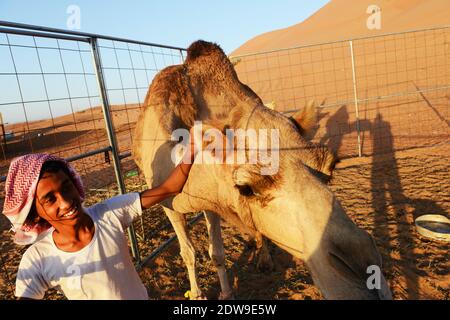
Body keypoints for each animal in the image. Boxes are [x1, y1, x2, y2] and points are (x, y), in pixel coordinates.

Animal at [132, 40, 392, 300]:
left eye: (330, 167)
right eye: (246, 188)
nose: (367, 275)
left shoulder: (211, 201)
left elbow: (217, 253)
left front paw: (227, 293)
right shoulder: (173, 203)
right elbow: (188, 253)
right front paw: (197, 294)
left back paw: (263, 257)